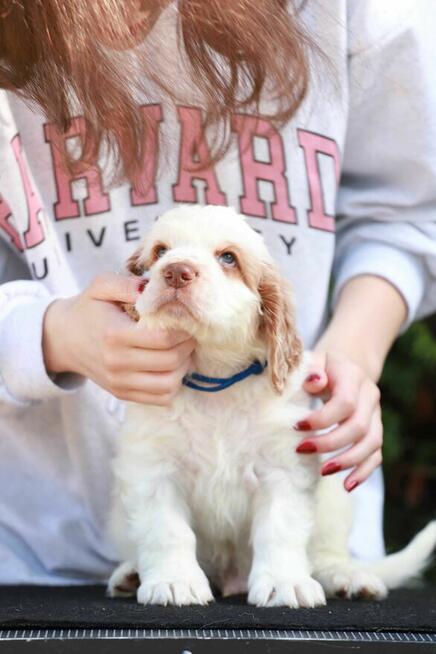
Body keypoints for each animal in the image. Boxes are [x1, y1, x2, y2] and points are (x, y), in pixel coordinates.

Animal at [107, 205, 434, 608]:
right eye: (160, 252)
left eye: (228, 258)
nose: (176, 271)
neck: (214, 378)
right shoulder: (152, 469)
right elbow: (166, 530)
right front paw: (174, 580)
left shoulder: (285, 467)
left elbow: (279, 530)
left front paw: (284, 582)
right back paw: (130, 574)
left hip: (334, 497)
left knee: (325, 554)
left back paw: (348, 576)